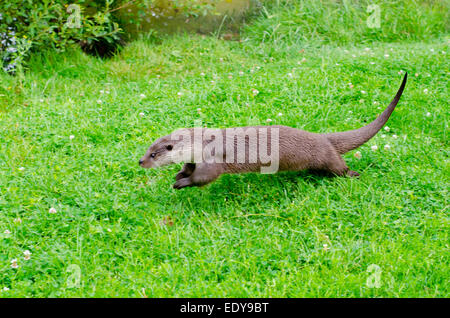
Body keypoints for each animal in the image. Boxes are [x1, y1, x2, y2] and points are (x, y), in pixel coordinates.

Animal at [140, 72, 408, 189]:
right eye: (147, 149)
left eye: (153, 154)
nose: (141, 161)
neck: (202, 143)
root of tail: (323, 138)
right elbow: (189, 166)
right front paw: (179, 174)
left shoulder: (214, 158)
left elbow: (205, 177)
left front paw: (182, 183)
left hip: (327, 157)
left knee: (339, 168)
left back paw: (353, 174)